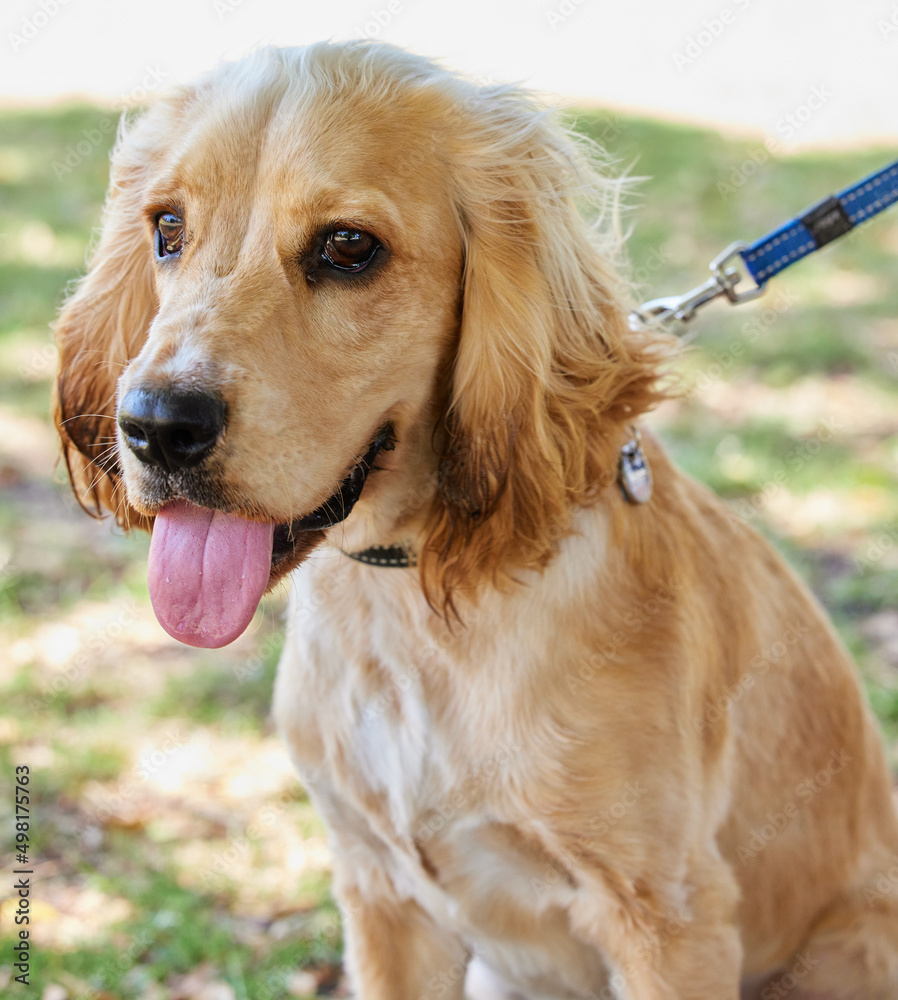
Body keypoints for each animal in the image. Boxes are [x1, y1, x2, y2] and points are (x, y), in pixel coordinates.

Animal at [52, 41, 896, 1000]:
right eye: (166, 227)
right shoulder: (379, 891)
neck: (410, 600)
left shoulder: (670, 916)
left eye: (349, 247)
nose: (155, 425)